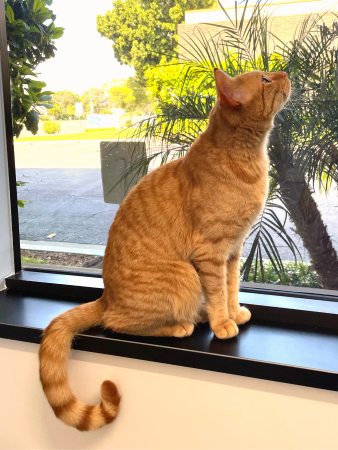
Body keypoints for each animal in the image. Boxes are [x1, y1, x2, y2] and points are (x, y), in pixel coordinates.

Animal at [38, 68, 290, 430]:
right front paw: (222, 323)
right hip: (184, 275)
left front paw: (234, 313)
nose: (285, 73)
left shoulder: (233, 250)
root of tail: (106, 296)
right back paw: (181, 325)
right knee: (117, 323)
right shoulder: (210, 253)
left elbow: (230, 289)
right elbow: (217, 294)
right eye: (266, 80)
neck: (245, 156)